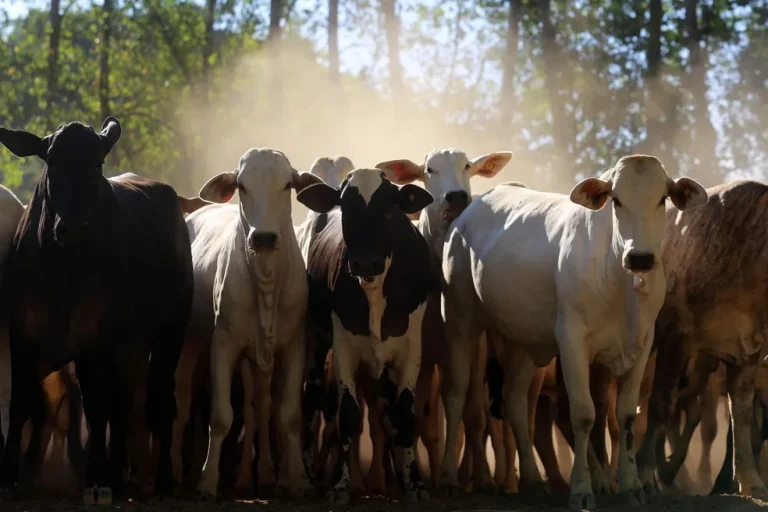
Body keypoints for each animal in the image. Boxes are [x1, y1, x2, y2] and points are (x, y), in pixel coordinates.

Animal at [0, 117, 195, 504]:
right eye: (53, 162)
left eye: (96, 165)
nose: (73, 227)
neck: (62, 271)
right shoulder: (22, 335)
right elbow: (21, 403)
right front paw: (11, 476)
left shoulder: (94, 343)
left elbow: (95, 408)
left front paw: (94, 478)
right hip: (132, 347)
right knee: (126, 404)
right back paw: (120, 476)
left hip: (169, 332)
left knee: (158, 399)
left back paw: (160, 479)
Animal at [188, 148, 322, 496]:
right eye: (242, 186)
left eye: (287, 185)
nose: (263, 238)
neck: (266, 281)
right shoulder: (223, 344)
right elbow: (222, 416)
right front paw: (207, 481)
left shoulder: (295, 346)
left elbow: (289, 415)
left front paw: (298, 479)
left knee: (261, 406)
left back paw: (267, 474)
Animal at [296, 169, 436, 504]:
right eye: (346, 208)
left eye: (388, 208)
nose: (365, 262)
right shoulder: (344, 348)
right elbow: (347, 415)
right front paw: (340, 484)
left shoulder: (410, 351)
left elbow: (404, 413)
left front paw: (414, 483)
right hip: (317, 340)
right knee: (312, 397)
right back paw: (310, 470)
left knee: (387, 414)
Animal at [376, 147, 512, 488]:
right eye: (429, 170)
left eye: (467, 166)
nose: (457, 196)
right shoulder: (420, 354)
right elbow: (419, 416)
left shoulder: (472, 346)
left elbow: (470, 412)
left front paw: (477, 477)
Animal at [440, 158, 704, 510]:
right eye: (616, 200)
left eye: (662, 198)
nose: (640, 257)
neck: (620, 279)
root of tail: (466, 215)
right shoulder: (572, 342)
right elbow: (583, 414)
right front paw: (582, 489)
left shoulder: (642, 344)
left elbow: (626, 416)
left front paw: (631, 486)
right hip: (459, 319)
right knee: (456, 393)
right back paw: (448, 478)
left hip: (523, 338)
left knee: (515, 401)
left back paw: (533, 480)